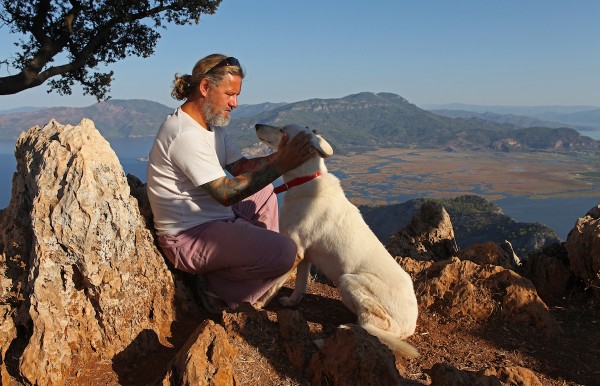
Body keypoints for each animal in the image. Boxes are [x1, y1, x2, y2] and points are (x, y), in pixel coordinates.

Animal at [255, 123, 420, 358]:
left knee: (370, 327)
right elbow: (300, 284)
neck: (305, 179)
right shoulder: (306, 255)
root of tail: (410, 324)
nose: (257, 124)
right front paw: (292, 302)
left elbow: (273, 284)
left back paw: (339, 333)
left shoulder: (295, 249)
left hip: (349, 281)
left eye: (282, 130)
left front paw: (258, 303)